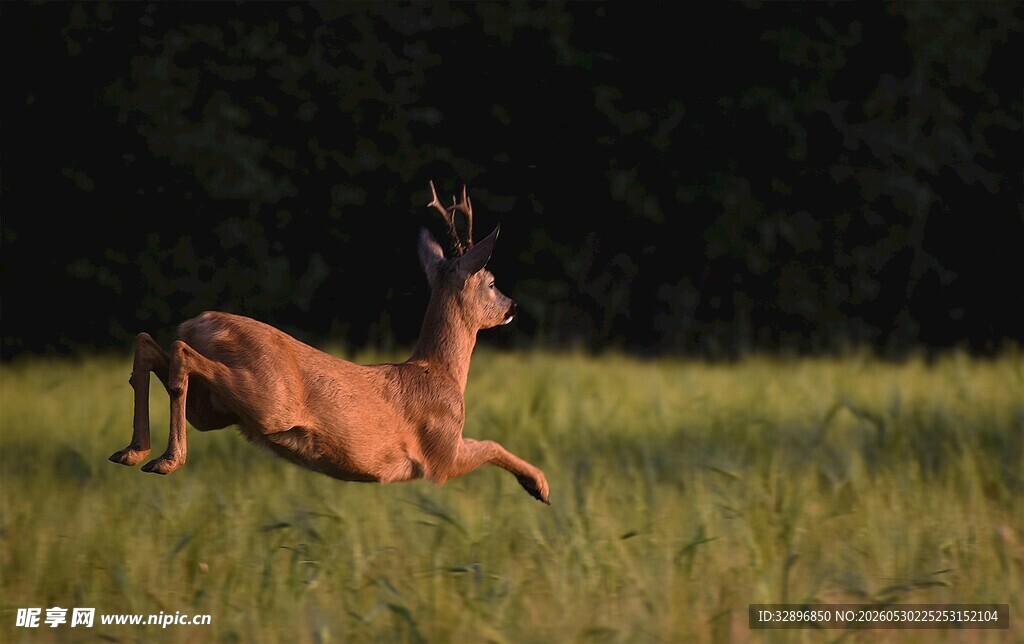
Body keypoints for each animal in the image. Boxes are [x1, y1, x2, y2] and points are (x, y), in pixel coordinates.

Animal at [108, 182, 550, 504]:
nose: (512, 306)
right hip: (266, 399)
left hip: (215, 409)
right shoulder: (439, 454)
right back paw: (166, 459)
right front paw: (540, 486)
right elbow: (491, 444)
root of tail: (200, 323)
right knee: (180, 354)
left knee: (149, 345)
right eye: (491, 281)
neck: (440, 372)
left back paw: (132, 452)